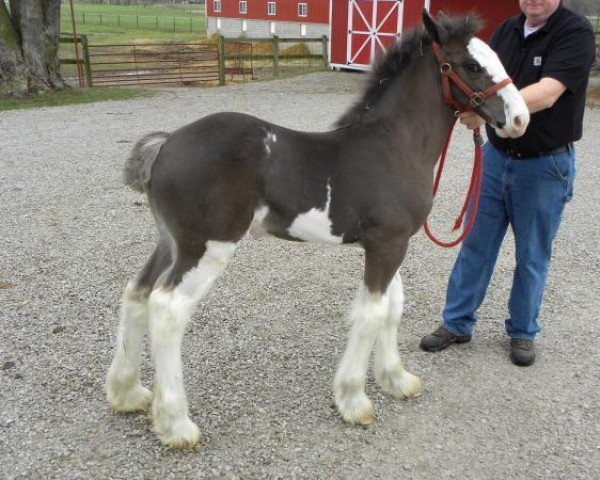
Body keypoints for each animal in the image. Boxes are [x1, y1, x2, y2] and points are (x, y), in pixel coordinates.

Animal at [105, 10, 528, 450]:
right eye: (472, 65)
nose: (520, 119)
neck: (394, 145)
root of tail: (166, 144)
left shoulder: (389, 244)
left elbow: (393, 307)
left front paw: (396, 379)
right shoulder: (387, 245)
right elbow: (373, 313)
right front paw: (354, 400)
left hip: (170, 243)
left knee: (137, 293)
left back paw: (128, 393)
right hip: (207, 247)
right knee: (167, 310)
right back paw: (177, 425)